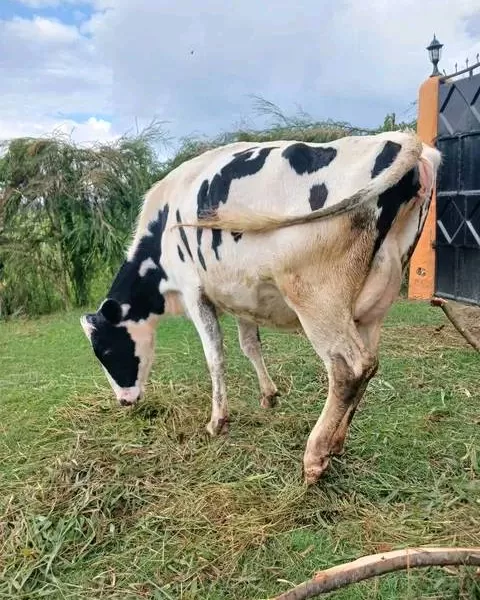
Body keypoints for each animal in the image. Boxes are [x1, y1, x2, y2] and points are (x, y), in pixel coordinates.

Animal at [80, 131, 440, 482]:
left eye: (105, 351)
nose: (124, 401)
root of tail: (399, 140)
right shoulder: (242, 296)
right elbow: (250, 345)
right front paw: (268, 395)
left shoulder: (194, 292)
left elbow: (215, 357)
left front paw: (217, 421)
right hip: (373, 306)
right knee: (371, 365)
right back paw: (336, 443)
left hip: (316, 297)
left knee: (350, 368)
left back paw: (315, 456)